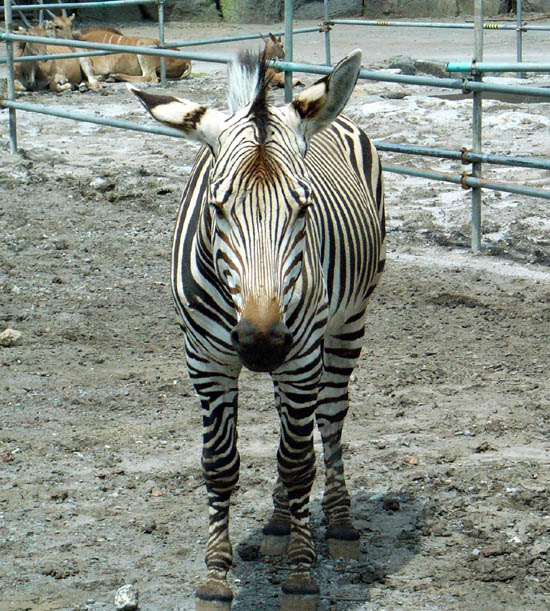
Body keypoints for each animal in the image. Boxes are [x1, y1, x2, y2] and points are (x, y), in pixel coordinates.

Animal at [48, 15, 194, 83]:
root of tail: (187, 61)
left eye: (70, 25)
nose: (67, 38)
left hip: (143, 52)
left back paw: (115, 76)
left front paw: (104, 77)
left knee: (149, 77)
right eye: (56, 26)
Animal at [131, 49, 386, 611]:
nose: (263, 343)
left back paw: (338, 523)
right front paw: (215, 577)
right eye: (216, 207)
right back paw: (276, 522)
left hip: (345, 324)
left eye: (304, 207)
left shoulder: (302, 354)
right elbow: (219, 464)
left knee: (329, 419)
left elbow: (299, 464)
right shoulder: (205, 362)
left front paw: (300, 574)